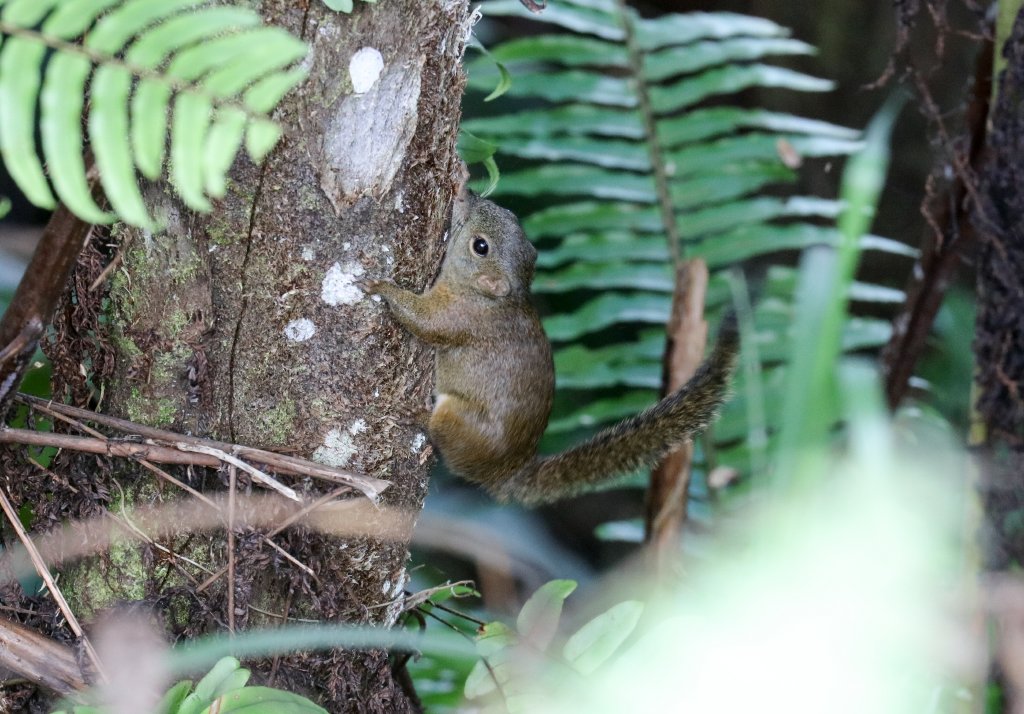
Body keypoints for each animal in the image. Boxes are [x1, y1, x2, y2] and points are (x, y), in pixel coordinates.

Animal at [360, 186, 739, 506]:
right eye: (510, 212)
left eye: (480, 246)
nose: (467, 194)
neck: (496, 298)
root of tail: (502, 476)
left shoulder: (458, 318)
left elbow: (424, 322)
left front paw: (383, 288)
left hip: (459, 420)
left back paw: (417, 415)